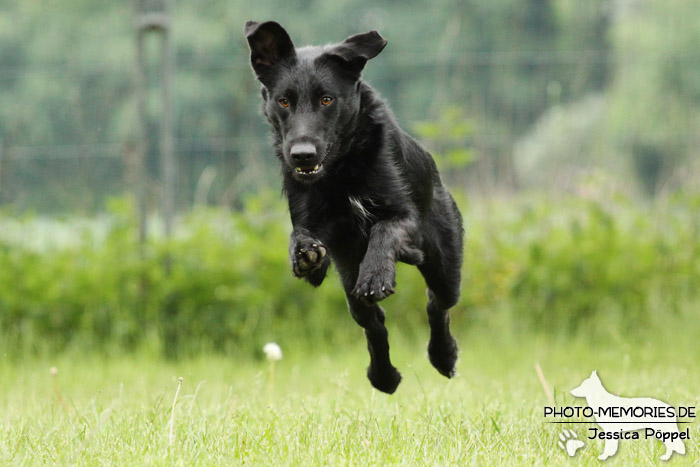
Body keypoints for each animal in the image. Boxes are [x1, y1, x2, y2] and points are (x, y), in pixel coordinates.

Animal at [243, 22, 462, 394]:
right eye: (284, 101)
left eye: (326, 99)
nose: (302, 156)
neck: (342, 168)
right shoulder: (315, 222)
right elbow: (300, 235)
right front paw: (305, 254)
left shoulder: (405, 217)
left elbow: (384, 228)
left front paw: (375, 273)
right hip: (349, 281)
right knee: (373, 324)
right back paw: (384, 376)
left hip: (446, 266)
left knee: (437, 304)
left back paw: (443, 357)